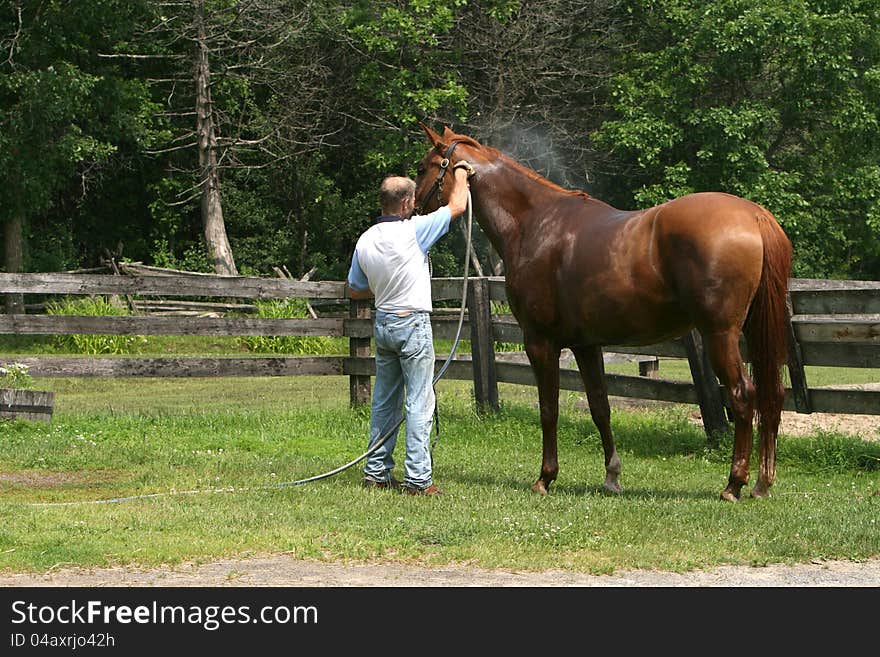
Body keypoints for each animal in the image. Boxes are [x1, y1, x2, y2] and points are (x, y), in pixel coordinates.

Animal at [416, 125, 796, 500]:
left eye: (423, 168)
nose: (412, 208)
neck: (535, 223)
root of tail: (753, 215)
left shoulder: (540, 341)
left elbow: (549, 409)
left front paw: (545, 477)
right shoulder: (586, 345)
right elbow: (600, 406)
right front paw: (612, 476)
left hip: (720, 335)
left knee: (743, 395)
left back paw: (734, 483)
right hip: (751, 330)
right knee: (772, 395)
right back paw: (762, 483)